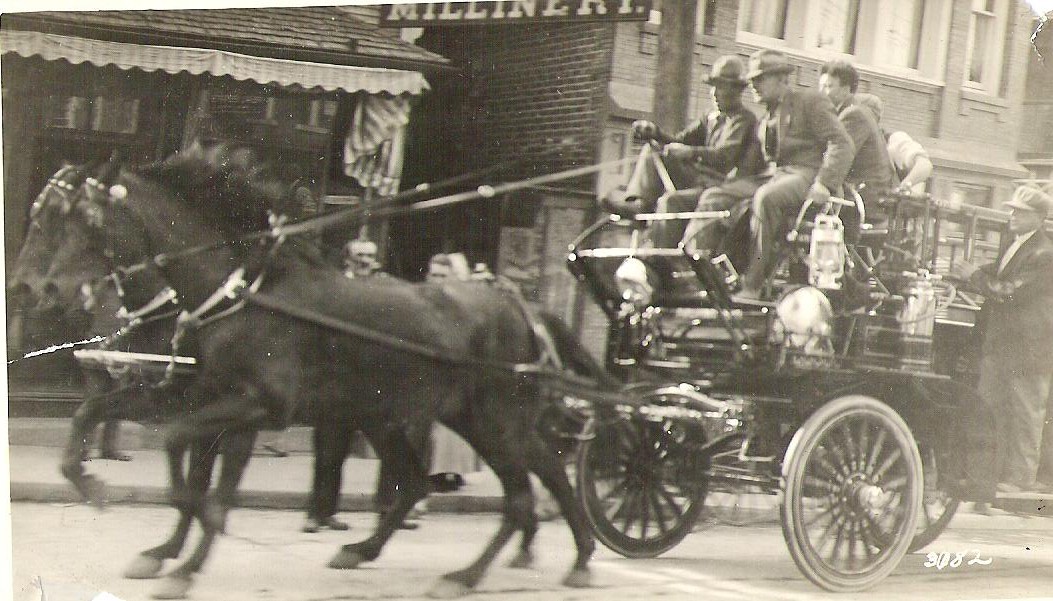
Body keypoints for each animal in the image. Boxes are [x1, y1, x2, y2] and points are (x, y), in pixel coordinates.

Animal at [18, 144, 602, 597]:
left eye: (70, 219)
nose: (34, 289)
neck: (238, 293)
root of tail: (519, 307)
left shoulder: (254, 407)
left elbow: (191, 465)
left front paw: (183, 561)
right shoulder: (196, 396)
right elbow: (100, 416)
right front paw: (108, 499)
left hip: (491, 421)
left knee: (522, 493)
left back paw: (470, 575)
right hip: (398, 417)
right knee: (429, 481)